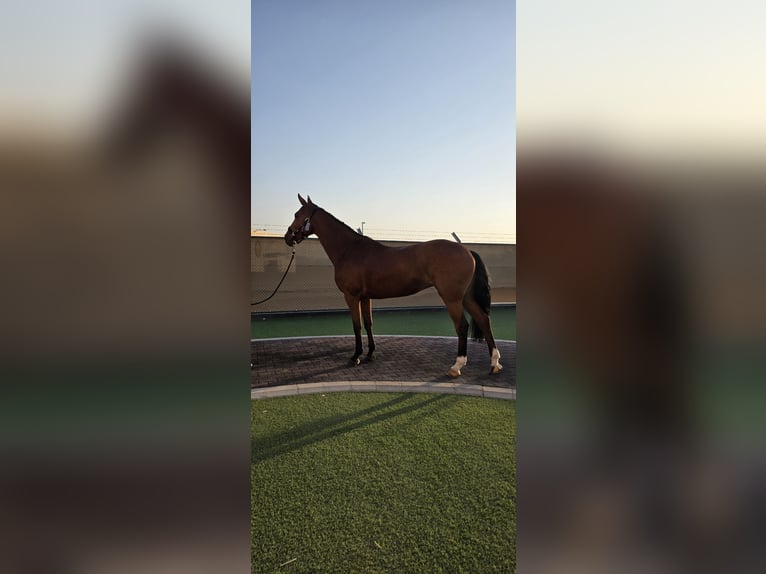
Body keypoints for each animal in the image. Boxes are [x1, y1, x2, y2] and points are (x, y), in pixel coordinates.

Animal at [284, 194, 502, 377]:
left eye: (297, 214)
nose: (287, 237)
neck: (350, 250)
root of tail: (467, 250)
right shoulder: (366, 297)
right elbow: (368, 323)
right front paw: (370, 354)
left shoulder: (351, 296)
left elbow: (356, 325)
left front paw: (355, 356)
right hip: (466, 297)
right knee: (483, 319)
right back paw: (494, 363)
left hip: (452, 298)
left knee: (462, 326)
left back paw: (457, 366)